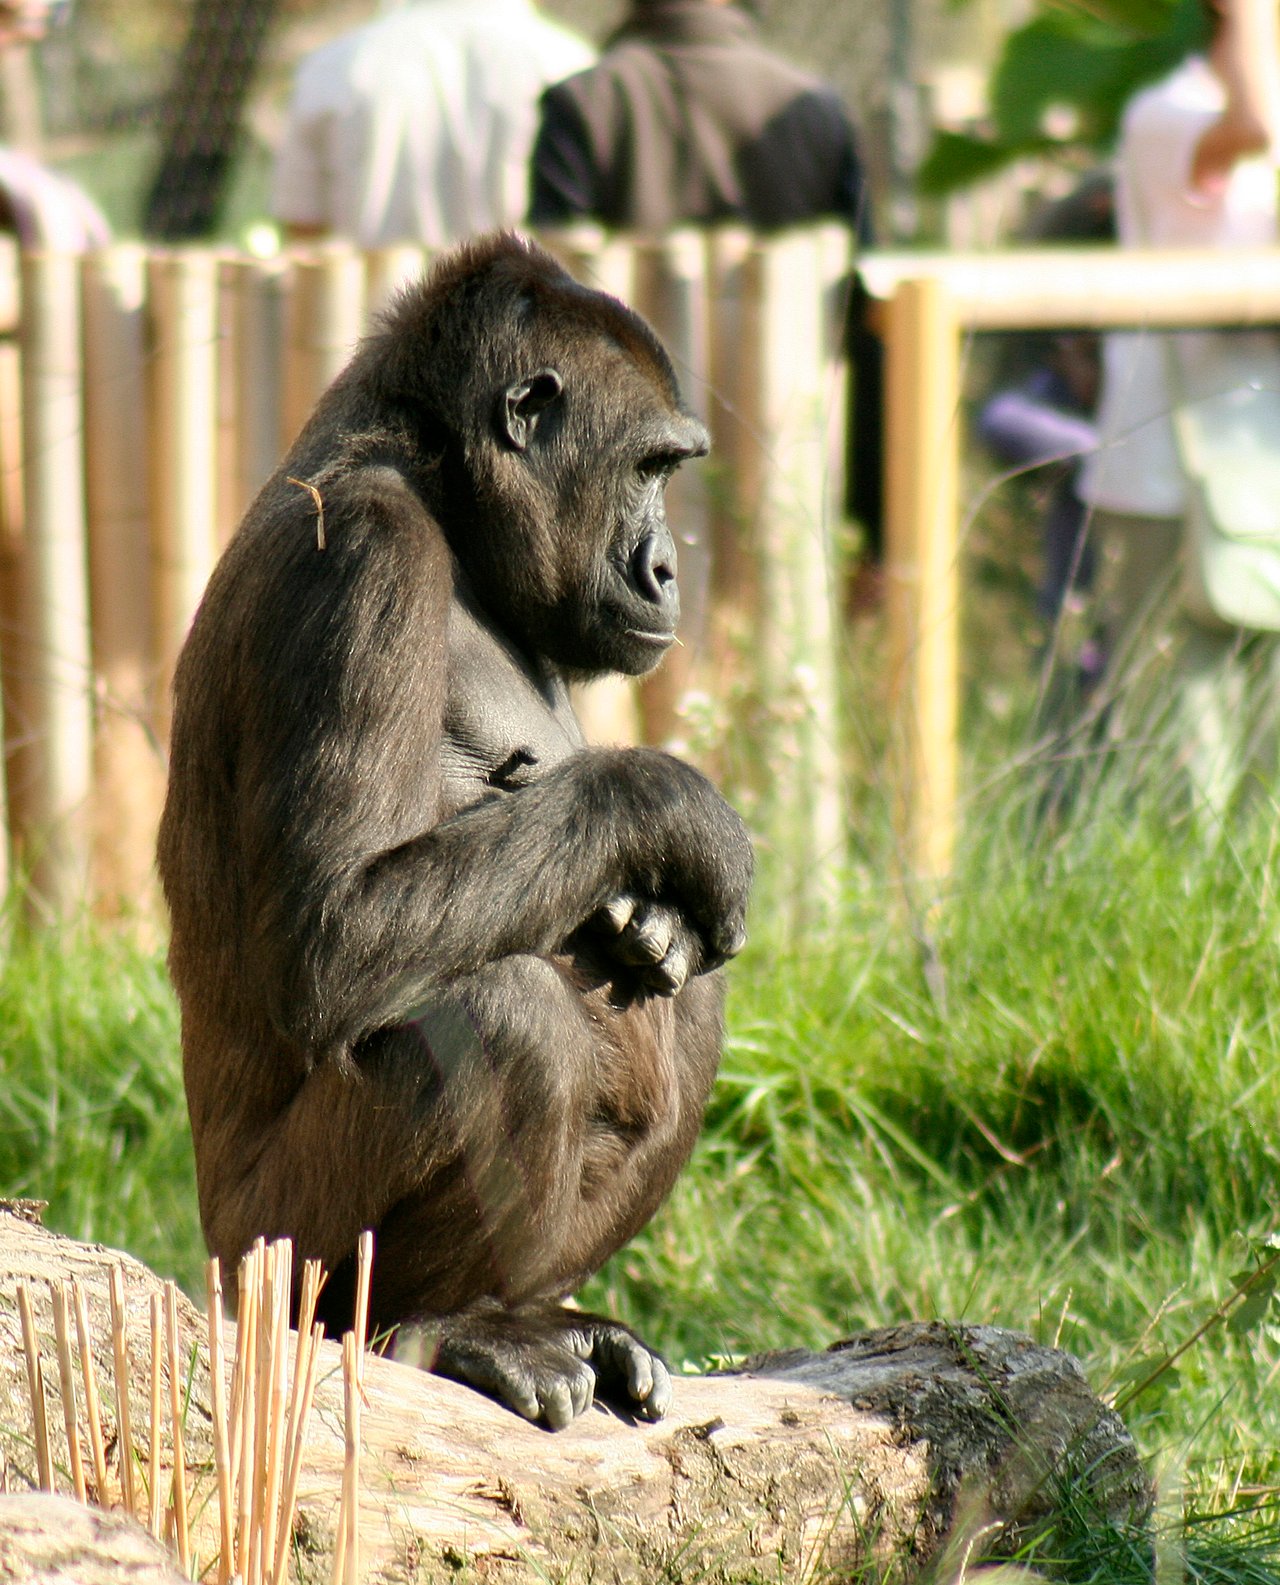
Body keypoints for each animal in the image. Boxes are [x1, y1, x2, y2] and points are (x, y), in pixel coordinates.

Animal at [162, 229, 760, 1432]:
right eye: (648, 468)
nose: (667, 566)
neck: (433, 481)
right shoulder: (361, 558)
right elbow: (338, 932)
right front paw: (671, 807)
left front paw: (655, 915)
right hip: (261, 1258)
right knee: (501, 1018)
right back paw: (442, 1326)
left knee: (681, 1007)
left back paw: (541, 1313)